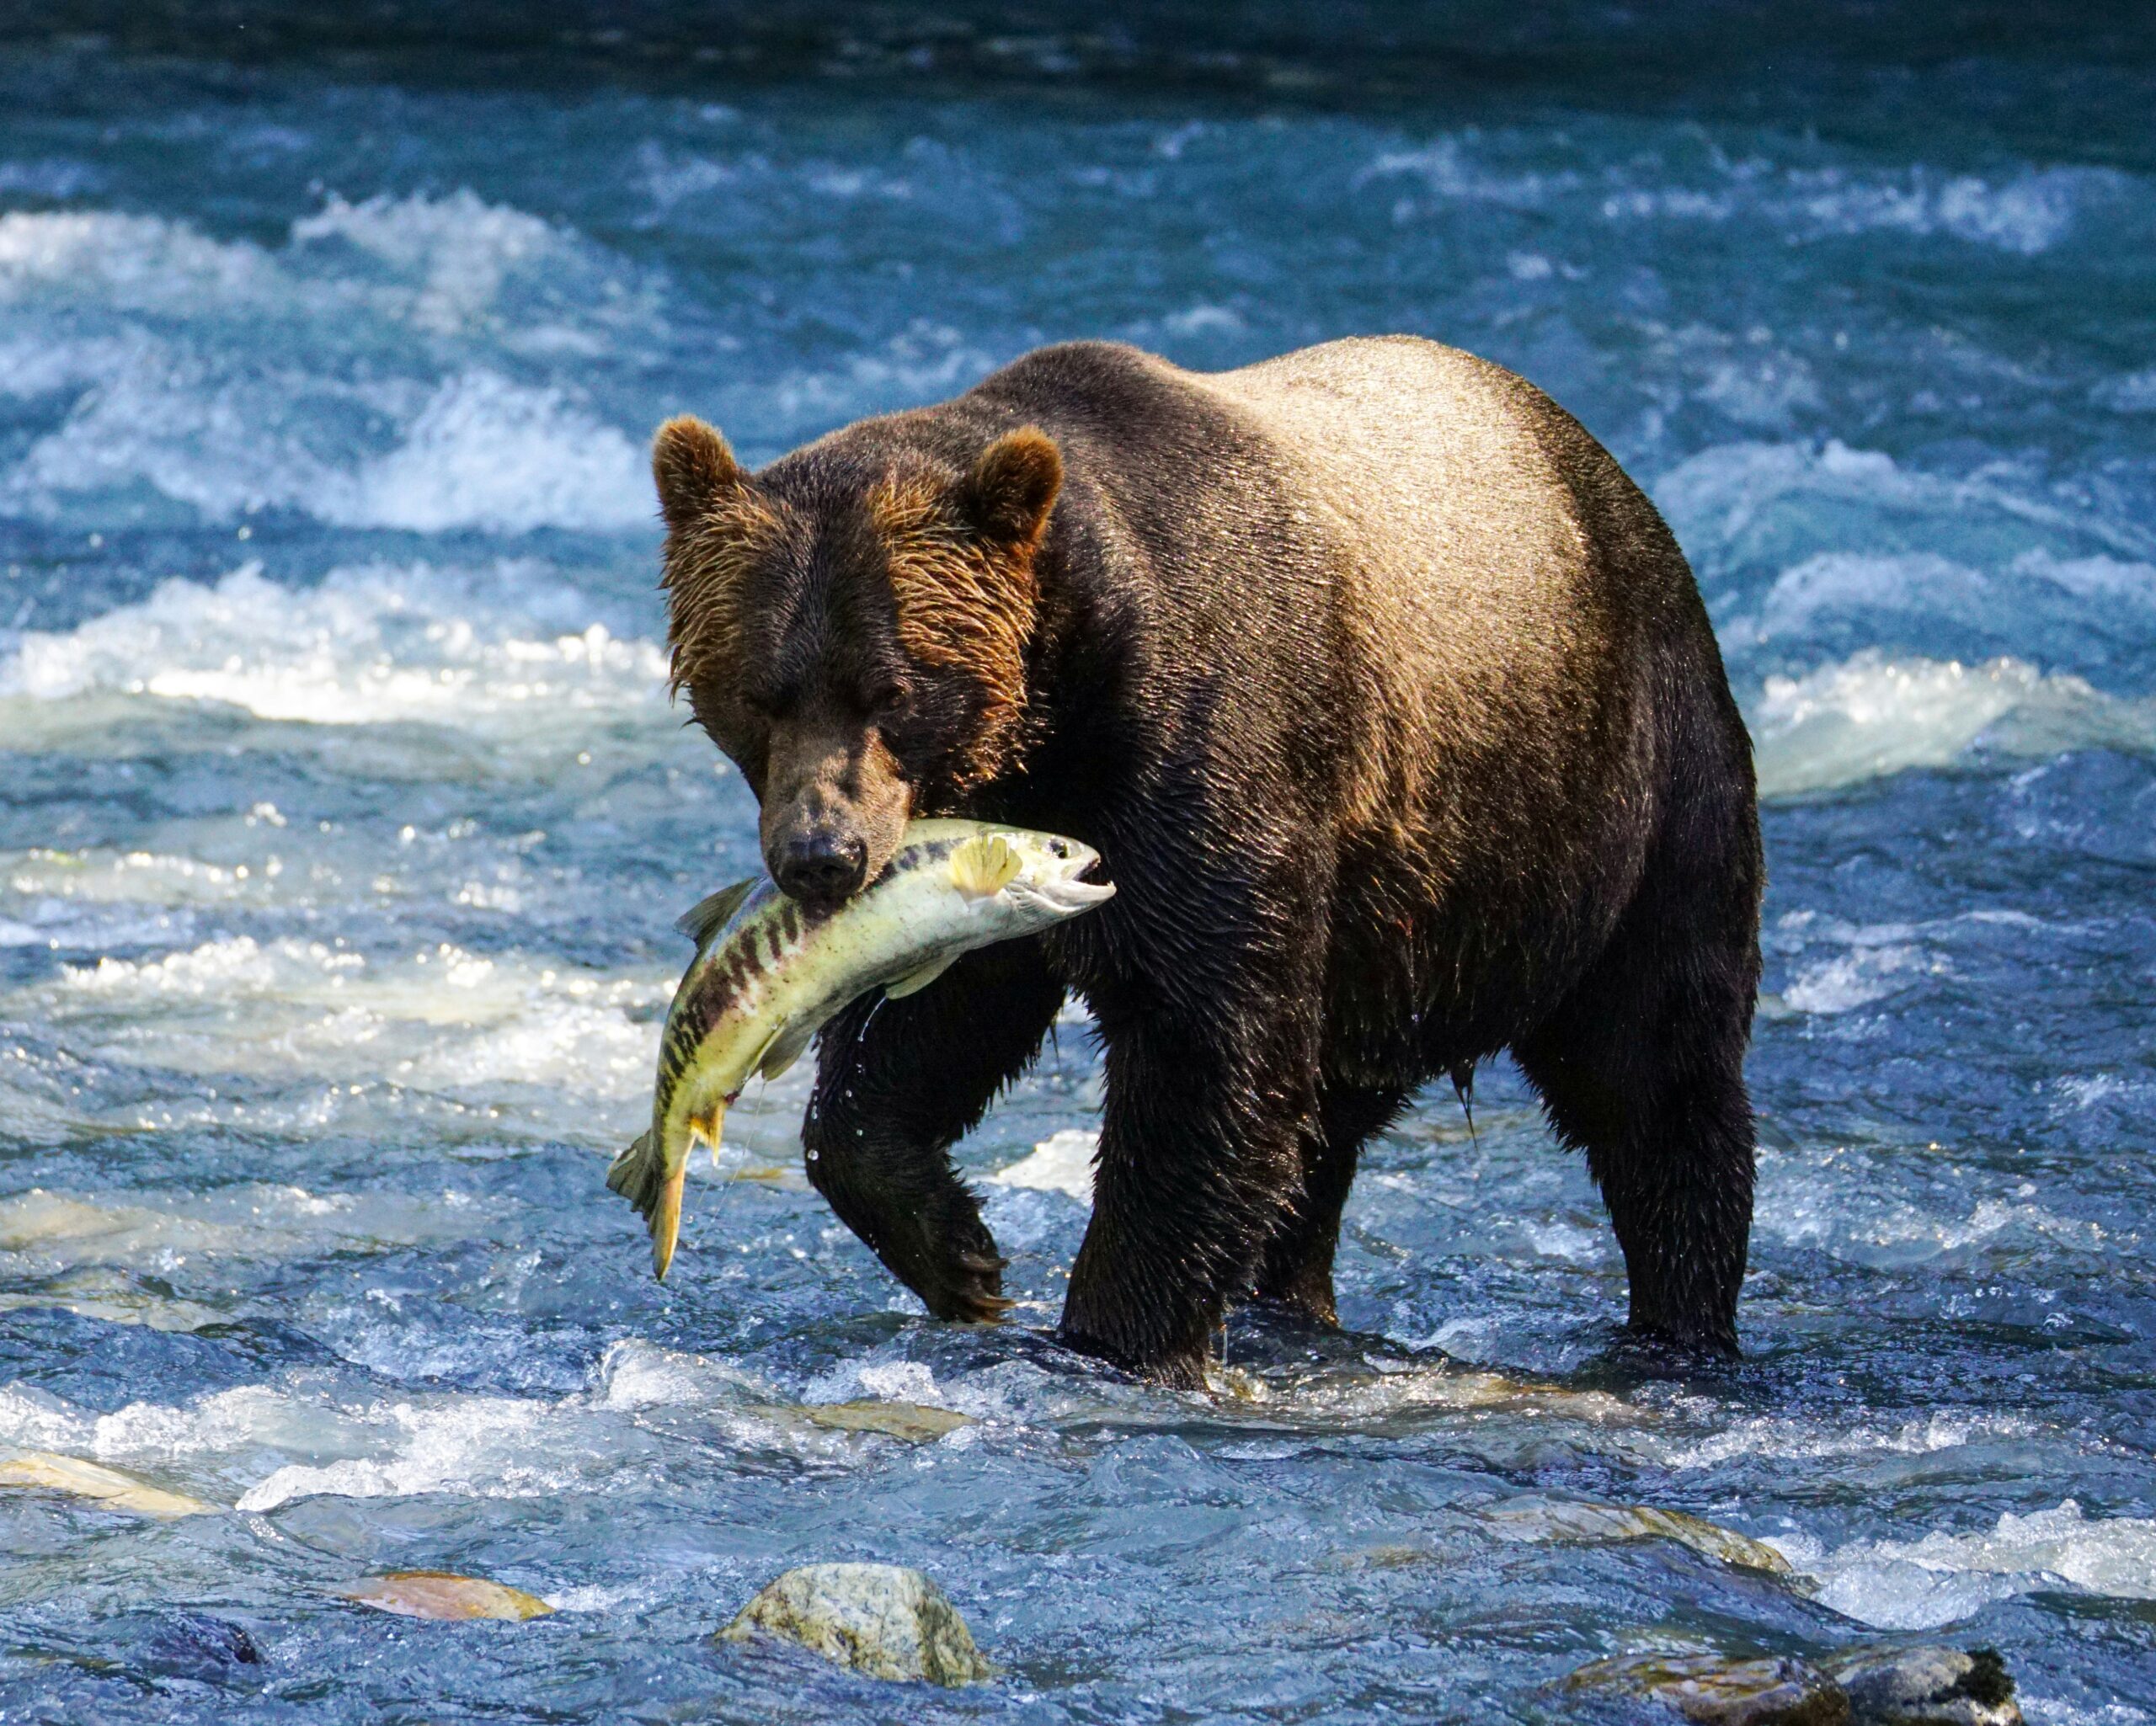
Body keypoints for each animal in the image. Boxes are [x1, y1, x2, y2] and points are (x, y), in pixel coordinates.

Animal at [651, 336, 1763, 1388]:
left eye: (892, 689)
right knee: (1326, 1124)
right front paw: (959, 1253)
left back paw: (1678, 1323)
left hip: (1620, 797)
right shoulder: (1005, 852)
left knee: (1656, 1072)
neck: (1055, 717)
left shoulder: (1205, 757)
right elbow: (927, 1031)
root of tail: (1614, 481)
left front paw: (1111, 1335)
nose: (822, 855)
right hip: (1392, 932)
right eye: (758, 691)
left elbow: (1204, 1054)